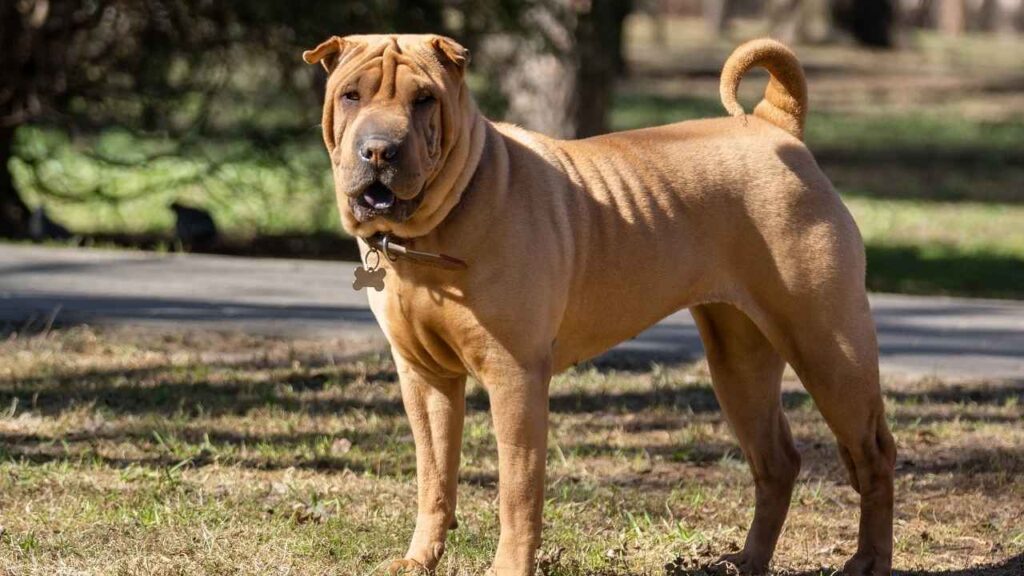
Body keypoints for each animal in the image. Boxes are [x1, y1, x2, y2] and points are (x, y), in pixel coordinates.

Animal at [303, 35, 897, 573]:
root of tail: (775, 125)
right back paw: (748, 561)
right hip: (738, 361)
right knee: (777, 461)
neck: (432, 232)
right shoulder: (424, 377)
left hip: (828, 349)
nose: (379, 150)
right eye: (351, 95)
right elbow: (434, 479)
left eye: (424, 99)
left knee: (873, 455)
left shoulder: (514, 376)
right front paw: (418, 560)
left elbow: (517, 492)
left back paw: (868, 560)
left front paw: (508, 566)